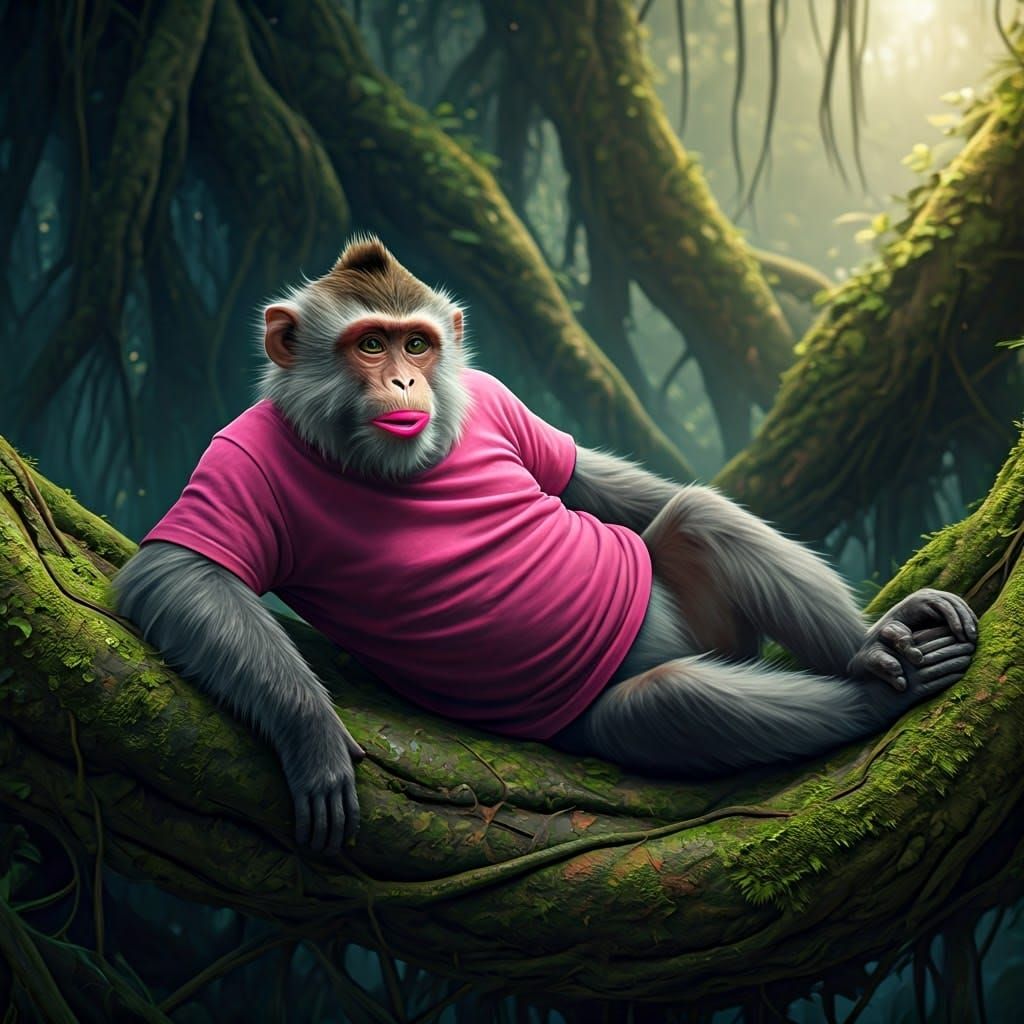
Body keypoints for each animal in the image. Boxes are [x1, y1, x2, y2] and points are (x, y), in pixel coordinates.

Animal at [112, 236, 978, 857]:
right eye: (369, 346)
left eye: (418, 345)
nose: (404, 385)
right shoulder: (245, 448)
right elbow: (176, 574)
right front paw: (310, 732)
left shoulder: (499, 398)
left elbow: (581, 479)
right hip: (623, 698)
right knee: (670, 701)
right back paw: (876, 694)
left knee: (699, 516)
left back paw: (875, 645)